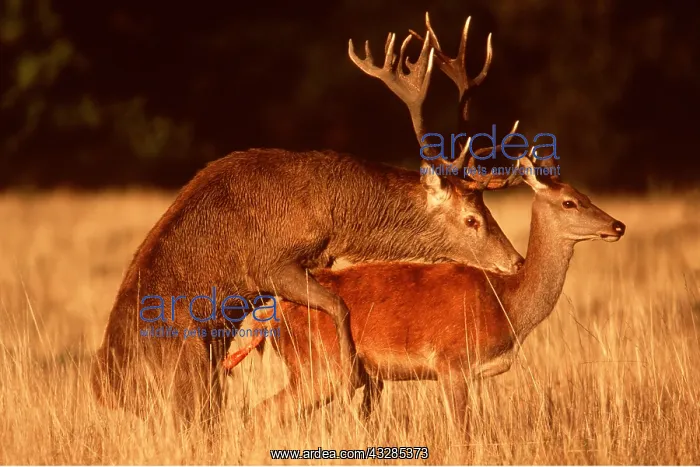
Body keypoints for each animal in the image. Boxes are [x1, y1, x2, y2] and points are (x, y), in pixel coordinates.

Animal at [91, 13, 525, 426]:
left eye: (486, 211)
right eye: (471, 219)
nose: (516, 260)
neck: (332, 217)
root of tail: (104, 390)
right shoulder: (270, 263)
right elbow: (338, 305)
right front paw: (352, 379)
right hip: (187, 368)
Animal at [223, 152, 626, 433]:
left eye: (585, 194)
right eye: (569, 202)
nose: (617, 226)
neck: (508, 304)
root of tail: (272, 313)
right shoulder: (451, 361)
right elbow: (462, 434)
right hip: (321, 366)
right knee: (261, 412)